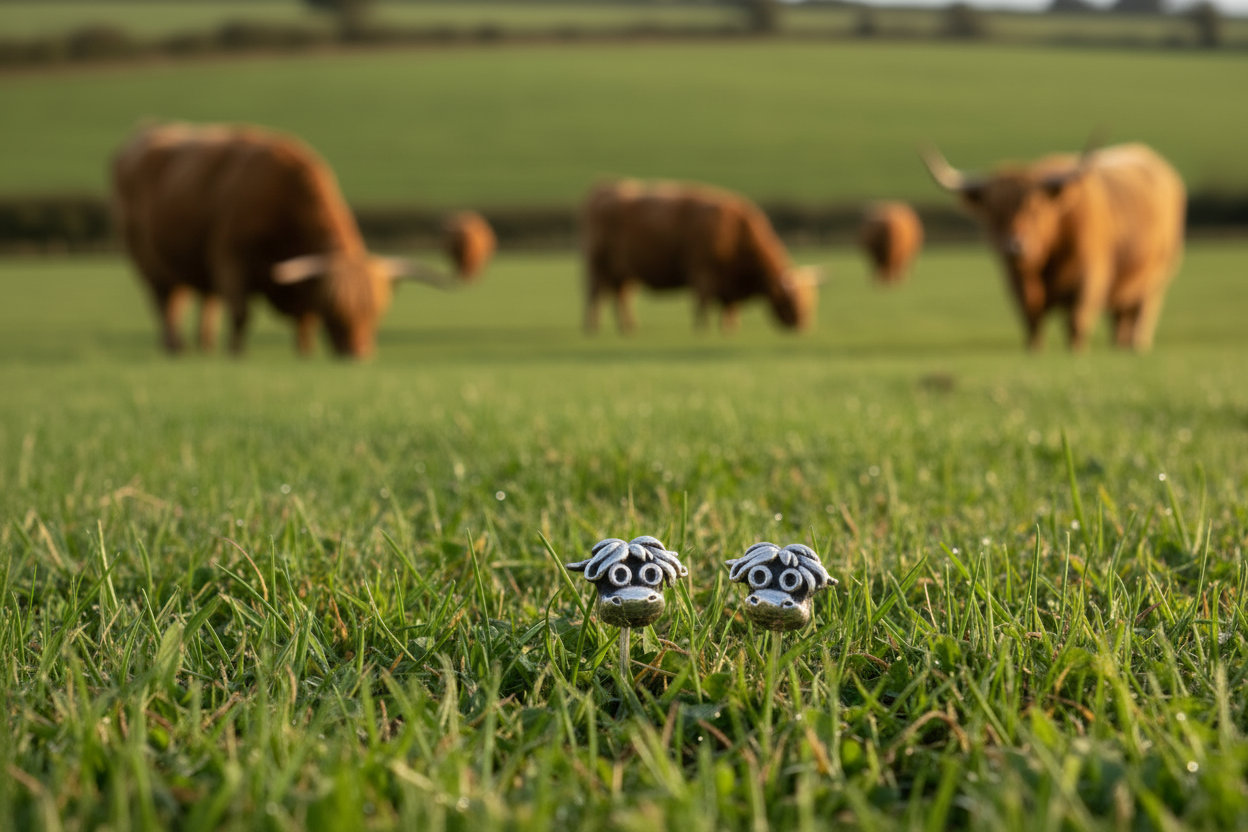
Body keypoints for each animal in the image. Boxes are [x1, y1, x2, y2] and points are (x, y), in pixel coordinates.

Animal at [112, 122, 457, 358]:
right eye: (334, 309)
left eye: (375, 312)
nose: (358, 355)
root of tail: (148, 130)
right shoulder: (230, 258)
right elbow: (240, 313)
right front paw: (237, 355)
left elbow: (304, 318)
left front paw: (305, 352)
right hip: (149, 261)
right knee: (164, 303)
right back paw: (176, 348)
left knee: (201, 299)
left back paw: (204, 346)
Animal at [582, 179, 823, 334]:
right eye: (790, 299)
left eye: (810, 298)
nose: (803, 324)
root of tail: (604, 188)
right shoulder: (702, 271)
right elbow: (703, 301)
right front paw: (703, 329)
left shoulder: (728, 283)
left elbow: (728, 308)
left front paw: (729, 329)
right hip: (598, 263)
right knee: (596, 294)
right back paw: (593, 327)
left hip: (623, 270)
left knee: (620, 297)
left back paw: (628, 328)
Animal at [920, 142, 1185, 352]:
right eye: (993, 212)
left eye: (1035, 208)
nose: (1014, 247)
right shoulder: (1018, 284)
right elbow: (1032, 320)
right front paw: (1034, 351)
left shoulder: (1089, 280)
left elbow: (1076, 324)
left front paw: (1076, 354)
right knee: (1121, 318)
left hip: (1157, 278)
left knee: (1142, 313)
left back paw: (1136, 347)